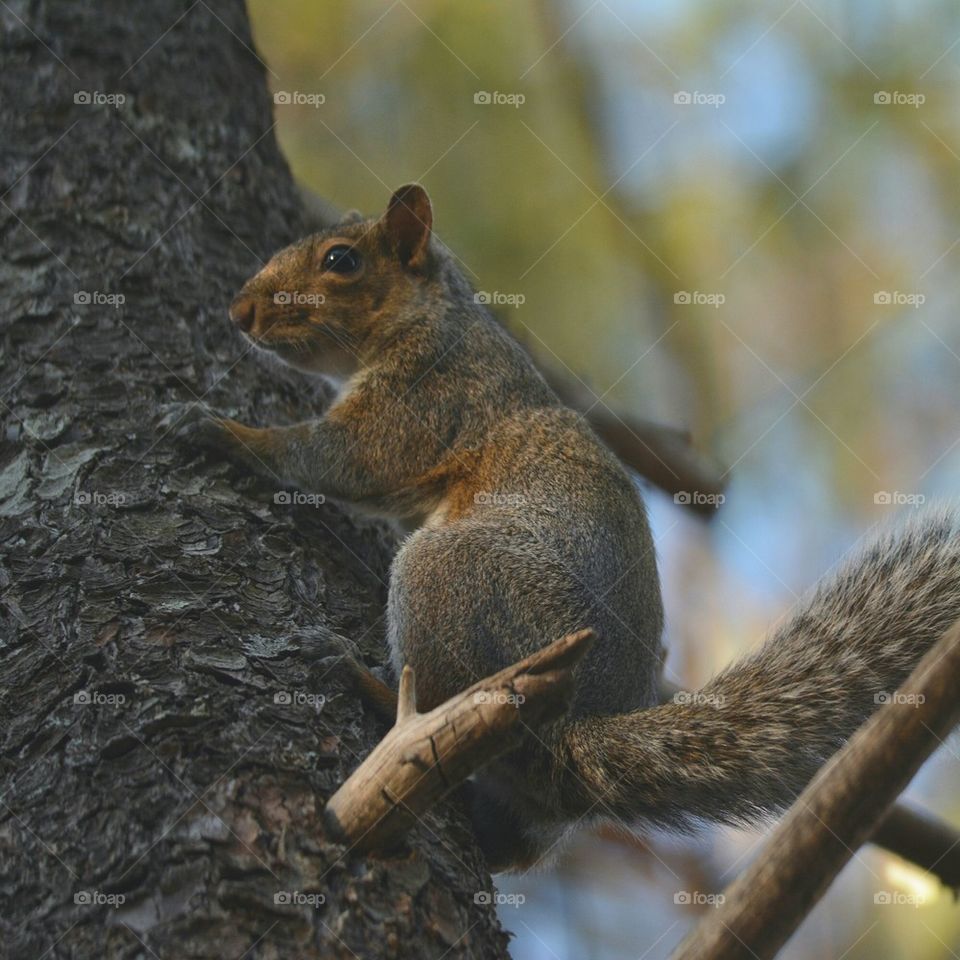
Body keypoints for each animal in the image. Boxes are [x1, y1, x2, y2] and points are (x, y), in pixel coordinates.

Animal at [175, 183, 960, 872]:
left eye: (341, 260)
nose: (239, 311)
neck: (433, 318)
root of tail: (573, 734)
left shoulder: (426, 396)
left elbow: (334, 457)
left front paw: (225, 431)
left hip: (453, 575)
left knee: (436, 700)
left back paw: (361, 679)